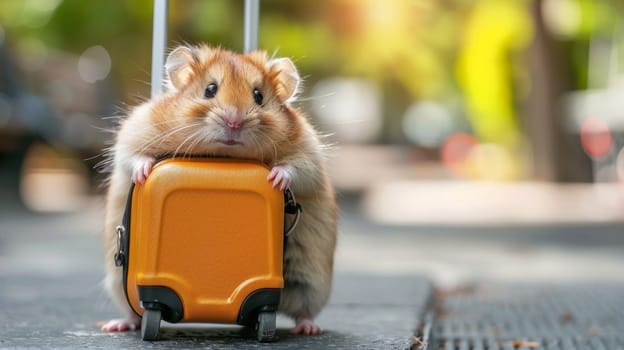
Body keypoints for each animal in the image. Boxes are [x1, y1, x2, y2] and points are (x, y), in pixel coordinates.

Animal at [100, 45, 336, 334]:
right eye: (210, 89)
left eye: (258, 96)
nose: (234, 122)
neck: (223, 155)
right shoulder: (134, 132)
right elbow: (132, 156)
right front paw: (144, 173)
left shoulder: (309, 154)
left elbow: (295, 168)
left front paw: (275, 178)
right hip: (118, 282)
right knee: (133, 309)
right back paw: (117, 325)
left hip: (310, 281)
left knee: (304, 310)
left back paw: (307, 329)